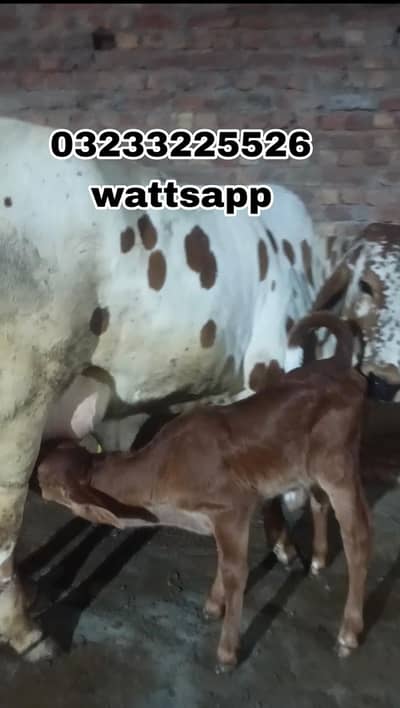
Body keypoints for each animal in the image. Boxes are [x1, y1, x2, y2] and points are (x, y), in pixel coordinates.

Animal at [0, 115, 398, 662]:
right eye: (368, 285)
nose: (389, 380)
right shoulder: (268, 368)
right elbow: (277, 495)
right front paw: (285, 548)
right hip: (19, 407)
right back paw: (27, 633)